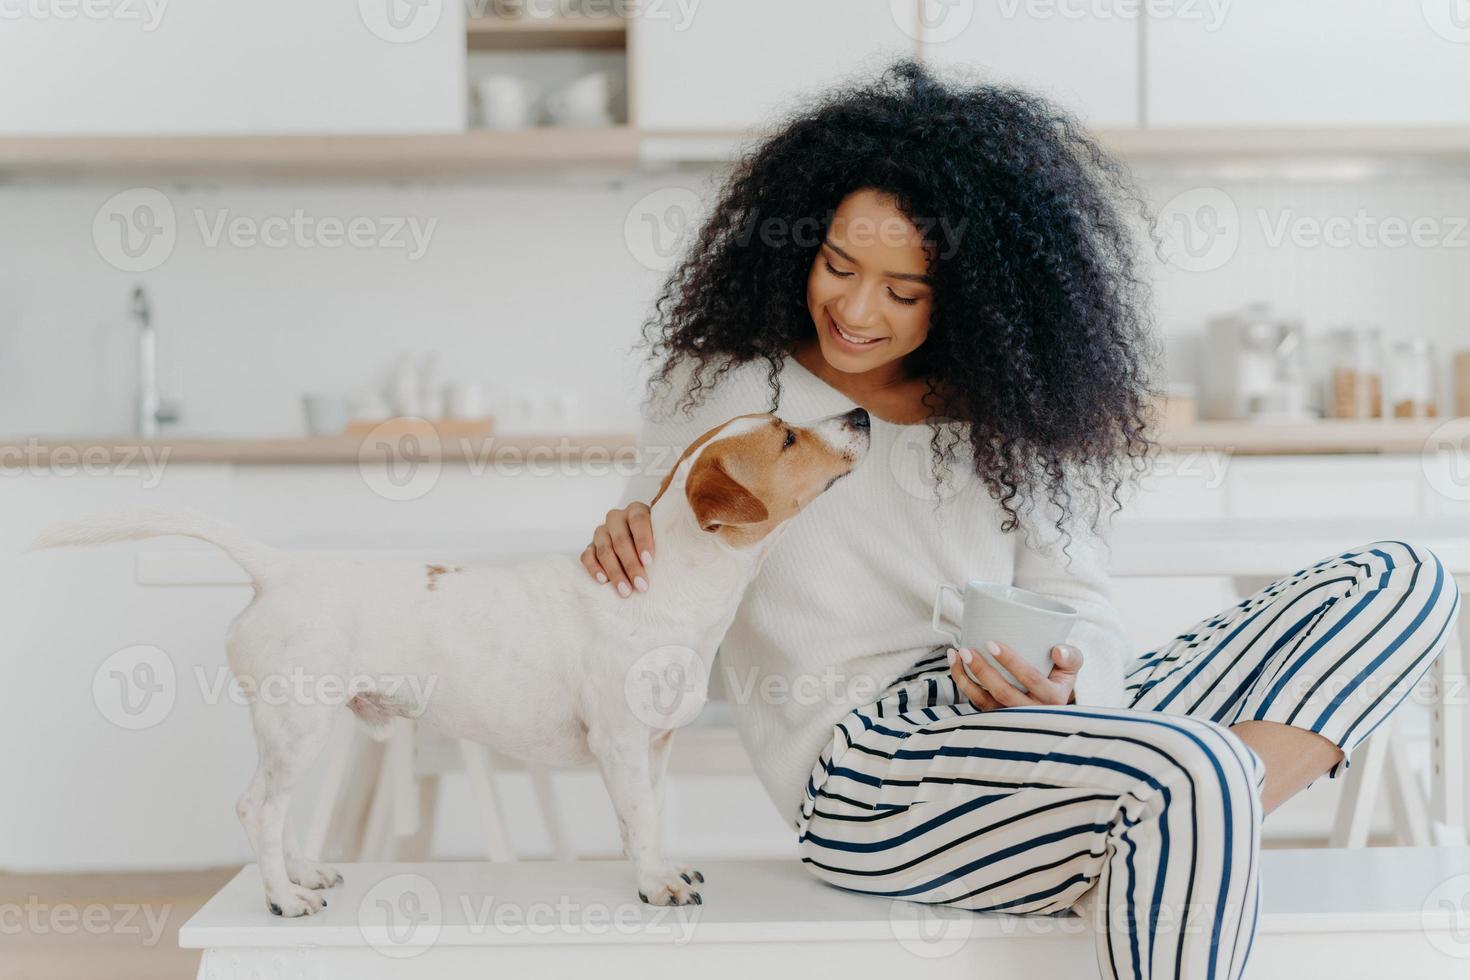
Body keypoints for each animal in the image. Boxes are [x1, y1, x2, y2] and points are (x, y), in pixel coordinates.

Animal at [34, 405, 864, 922]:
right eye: (787, 437)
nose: (858, 414)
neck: (674, 588)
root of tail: (279, 568)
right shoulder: (622, 746)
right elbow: (634, 819)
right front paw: (653, 887)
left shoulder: (654, 746)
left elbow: (648, 821)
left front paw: (662, 865)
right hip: (297, 725)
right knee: (255, 809)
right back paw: (284, 897)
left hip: (299, 733)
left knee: (275, 809)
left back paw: (302, 870)